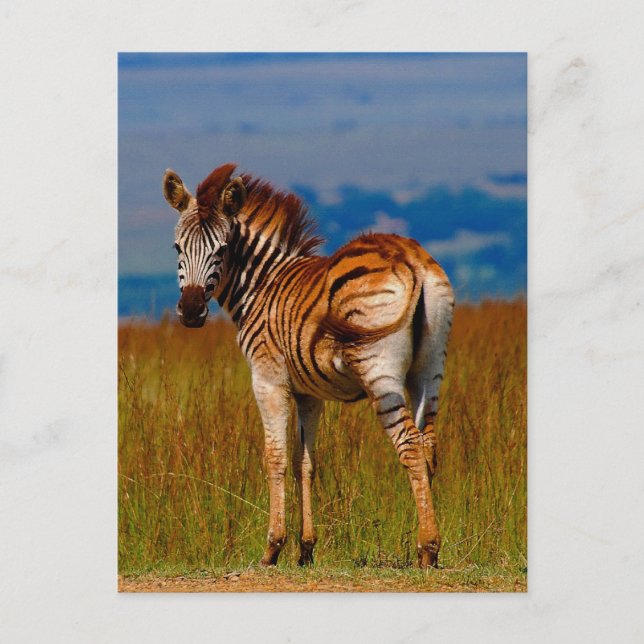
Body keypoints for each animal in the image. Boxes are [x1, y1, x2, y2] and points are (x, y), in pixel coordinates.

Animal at [163, 163, 454, 568]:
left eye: (222, 249)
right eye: (177, 247)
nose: (190, 313)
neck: (261, 284)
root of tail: (409, 256)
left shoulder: (267, 379)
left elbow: (275, 457)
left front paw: (272, 547)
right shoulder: (308, 394)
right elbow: (306, 463)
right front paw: (306, 549)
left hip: (379, 371)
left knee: (410, 444)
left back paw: (427, 548)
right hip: (430, 368)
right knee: (429, 445)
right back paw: (432, 545)